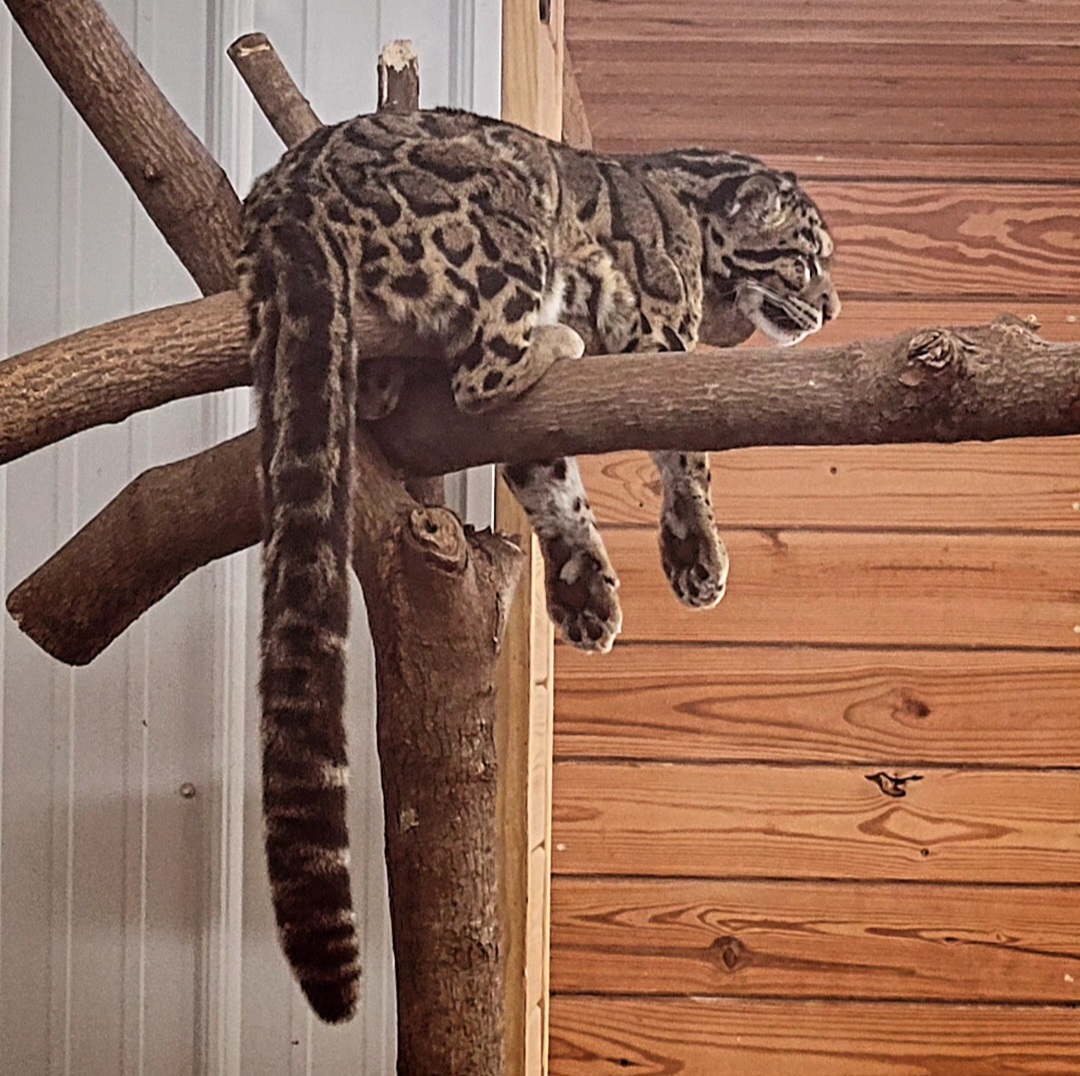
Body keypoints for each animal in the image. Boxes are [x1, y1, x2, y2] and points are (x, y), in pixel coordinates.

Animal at [237, 107, 838, 1023]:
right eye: (806, 258)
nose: (835, 305)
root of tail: (289, 180)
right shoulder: (663, 336)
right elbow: (686, 452)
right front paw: (696, 554)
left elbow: (550, 481)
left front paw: (584, 591)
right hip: (508, 229)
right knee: (483, 370)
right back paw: (556, 337)